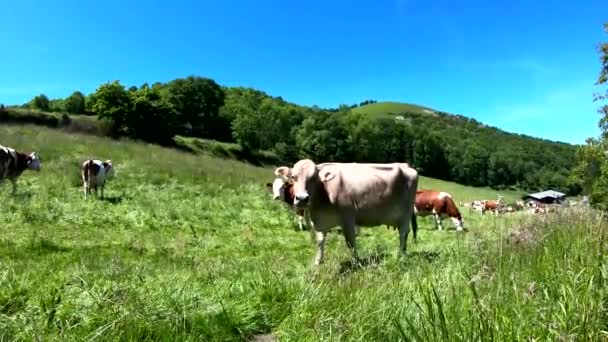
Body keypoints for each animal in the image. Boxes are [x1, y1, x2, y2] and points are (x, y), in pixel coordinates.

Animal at [276, 159, 418, 266]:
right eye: (293, 177)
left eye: (314, 178)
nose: (302, 198)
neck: (324, 192)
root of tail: (405, 166)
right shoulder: (320, 222)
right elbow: (320, 241)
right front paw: (318, 262)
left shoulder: (348, 217)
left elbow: (350, 241)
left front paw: (356, 262)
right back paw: (403, 252)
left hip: (405, 213)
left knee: (403, 233)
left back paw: (400, 255)